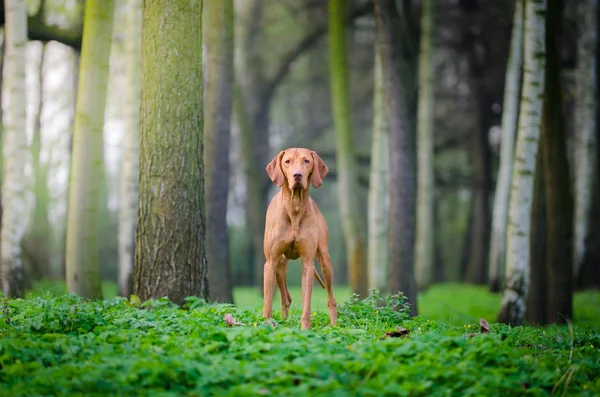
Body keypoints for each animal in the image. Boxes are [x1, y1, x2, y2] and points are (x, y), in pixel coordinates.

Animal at [262, 148, 338, 328]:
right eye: (287, 161)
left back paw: (334, 326)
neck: (294, 207)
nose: (297, 175)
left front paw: (305, 328)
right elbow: (267, 302)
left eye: (306, 161)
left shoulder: (308, 263)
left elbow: (306, 302)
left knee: (331, 298)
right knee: (285, 298)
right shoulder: (270, 262)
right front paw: (266, 324)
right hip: (279, 267)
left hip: (325, 261)